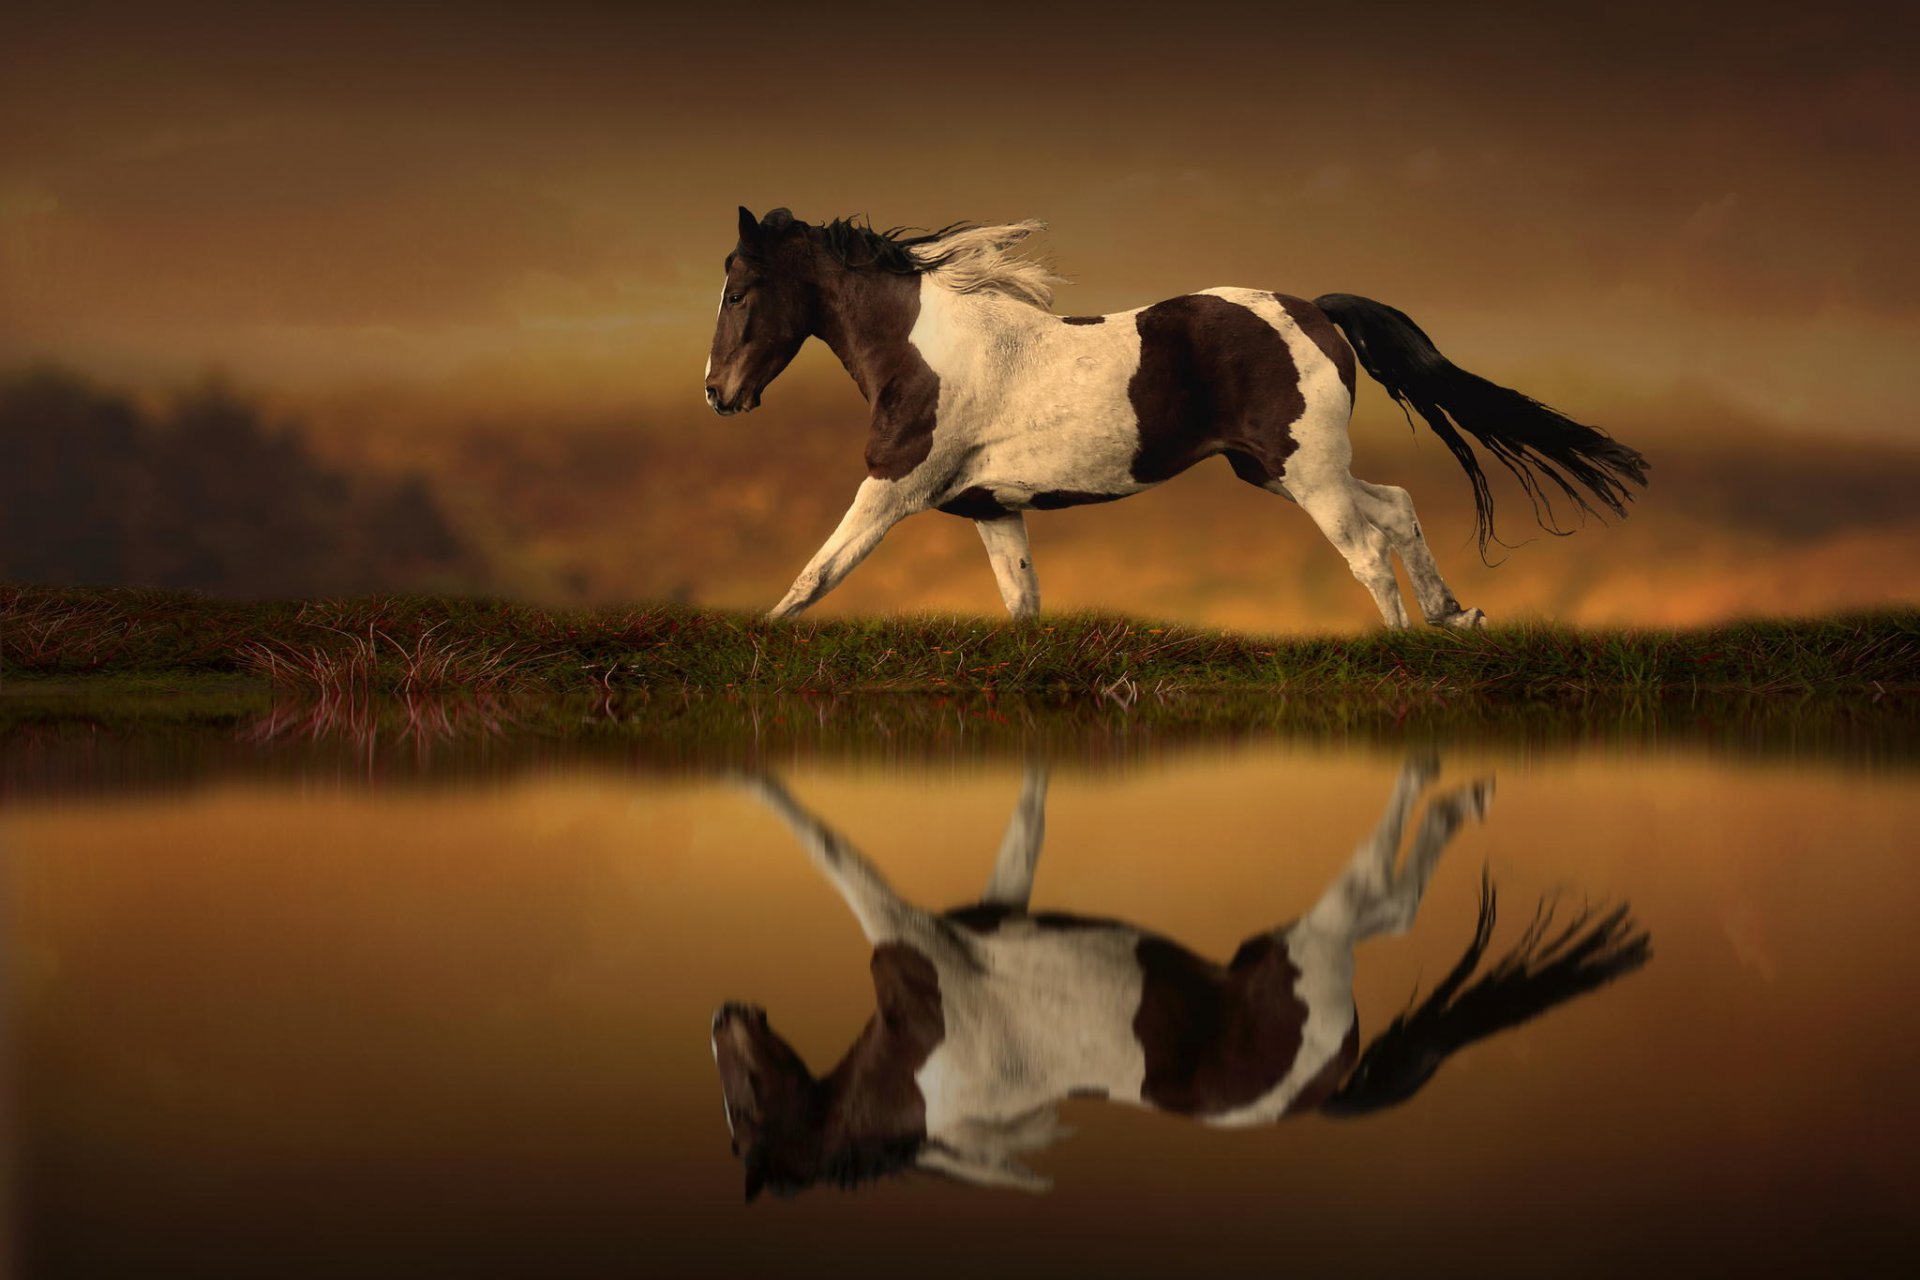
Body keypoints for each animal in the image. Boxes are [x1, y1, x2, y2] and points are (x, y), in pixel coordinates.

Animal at [703, 207, 1649, 627]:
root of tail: (1313, 309)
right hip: (1276, 470)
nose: (718, 393)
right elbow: (1023, 604)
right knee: (1398, 509)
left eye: (740, 290)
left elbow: (816, 576)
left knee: (1368, 550)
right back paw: (1455, 616)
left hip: (1306, 473)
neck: (927, 349)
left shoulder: (893, 487)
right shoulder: (992, 509)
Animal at [711, 761, 1651, 1199]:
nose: (723, 1016)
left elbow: (831, 849)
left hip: (1303, 946)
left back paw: (1467, 797)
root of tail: (1321, 1089)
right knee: (1390, 909)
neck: (924, 1066)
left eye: (746, 1114)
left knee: (1386, 899)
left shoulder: (911, 933)